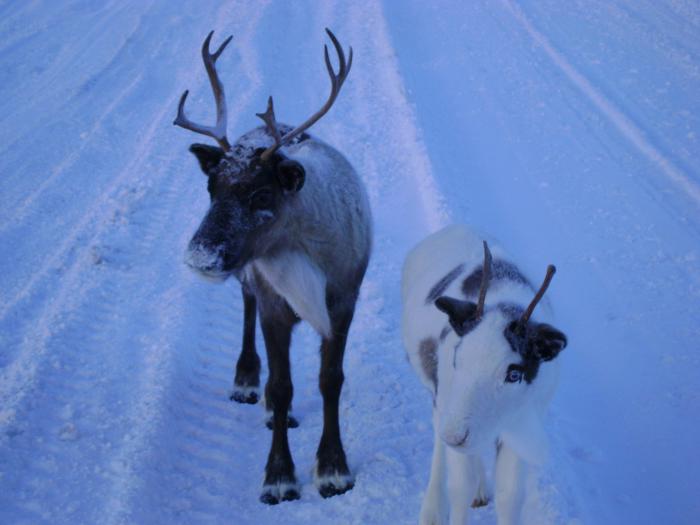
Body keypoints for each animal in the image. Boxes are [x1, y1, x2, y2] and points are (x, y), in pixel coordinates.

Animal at [173, 29, 372, 505]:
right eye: (211, 187)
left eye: (262, 195)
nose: (200, 256)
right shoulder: (274, 304)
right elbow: (283, 388)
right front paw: (279, 476)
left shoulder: (343, 301)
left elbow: (330, 379)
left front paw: (333, 468)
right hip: (253, 281)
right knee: (247, 309)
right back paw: (248, 381)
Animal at [401, 225, 568, 524]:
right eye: (457, 356)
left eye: (513, 374)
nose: (455, 436)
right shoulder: (449, 401)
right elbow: (459, 488)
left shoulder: (521, 420)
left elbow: (509, 495)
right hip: (441, 398)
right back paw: (432, 509)